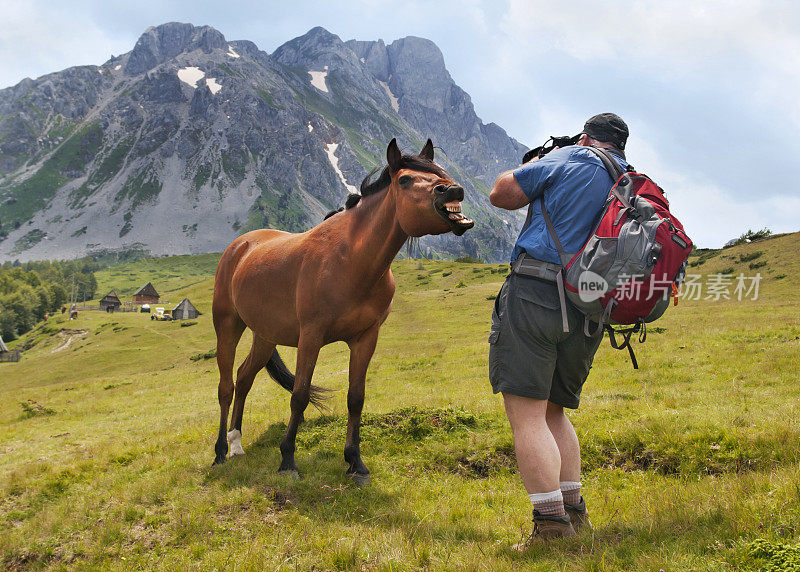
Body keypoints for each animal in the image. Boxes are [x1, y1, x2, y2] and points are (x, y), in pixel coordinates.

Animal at [212, 137, 476, 478]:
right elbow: (299, 396)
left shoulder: (365, 338)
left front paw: (355, 461)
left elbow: (356, 398)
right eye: (404, 180)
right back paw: (220, 451)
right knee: (226, 387)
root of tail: (241, 245)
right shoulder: (311, 337)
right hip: (228, 326)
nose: (453, 190)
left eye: (439, 172)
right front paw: (288, 461)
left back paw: (236, 445)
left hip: (265, 336)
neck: (349, 260)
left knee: (244, 378)